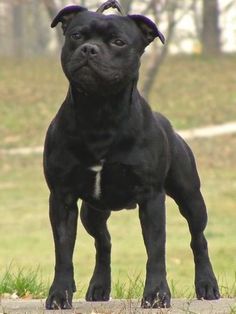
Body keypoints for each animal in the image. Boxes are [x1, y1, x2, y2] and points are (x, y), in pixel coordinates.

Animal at [43, 4, 219, 310]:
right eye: (76, 35)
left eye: (118, 42)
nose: (89, 49)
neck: (100, 112)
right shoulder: (62, 198)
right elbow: (63, 251)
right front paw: (59, 294)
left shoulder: (151, 197)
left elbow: (156, 249)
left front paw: (157, 295)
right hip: (92, 212)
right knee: (103, 242)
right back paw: (99, 287)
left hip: (191, 198)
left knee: (198, 238)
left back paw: (207, 285)